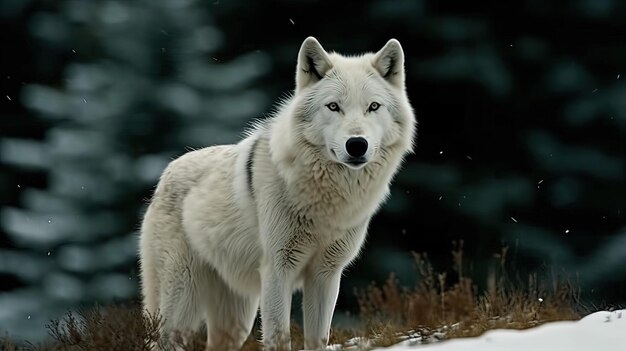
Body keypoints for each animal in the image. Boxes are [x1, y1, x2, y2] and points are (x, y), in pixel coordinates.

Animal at [139, 37, 416, 350]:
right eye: (333, 106)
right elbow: (278, 337)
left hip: (236, 320)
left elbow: (318, 339)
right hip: (182, 304)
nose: (357, 144)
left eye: (373, 106)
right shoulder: (277, 271)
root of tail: (166, 172)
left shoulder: (326, 275)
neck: (326, 203)